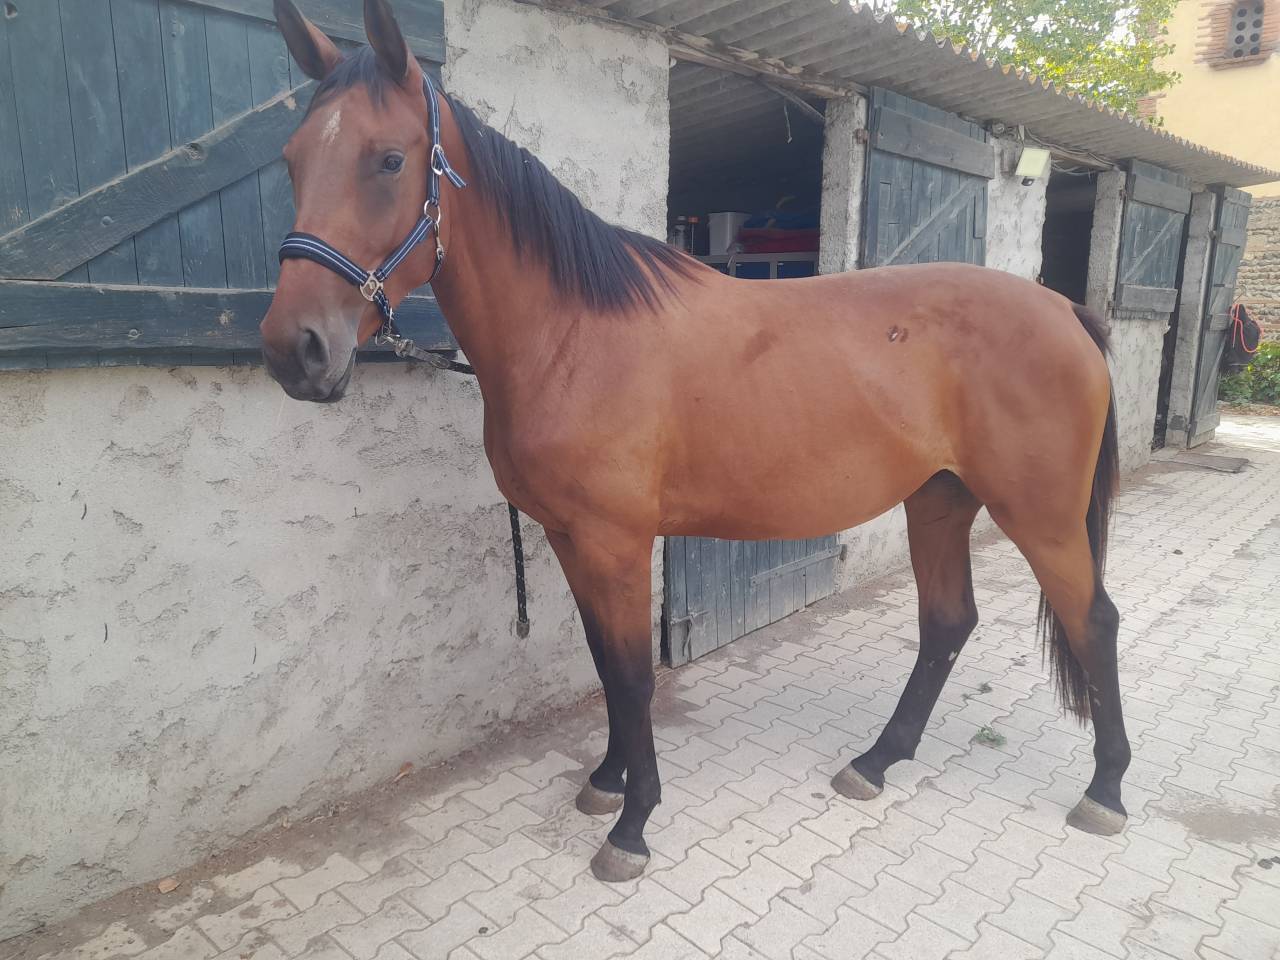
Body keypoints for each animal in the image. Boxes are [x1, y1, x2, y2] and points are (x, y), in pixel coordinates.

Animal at [261, 0, 1128, 883]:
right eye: (292, 160)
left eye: (389, 159)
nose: (297, 350)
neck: (573, 335)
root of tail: (1066, 312)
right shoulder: (571, 537)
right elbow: (605, 665)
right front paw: (607, 781)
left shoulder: (616, 541)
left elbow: (633, 677)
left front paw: (633, 825)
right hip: (940, 500)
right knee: (948, 623)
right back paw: (877, 761)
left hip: (1041, 516)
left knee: (1094, 620)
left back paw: (1106, 790)